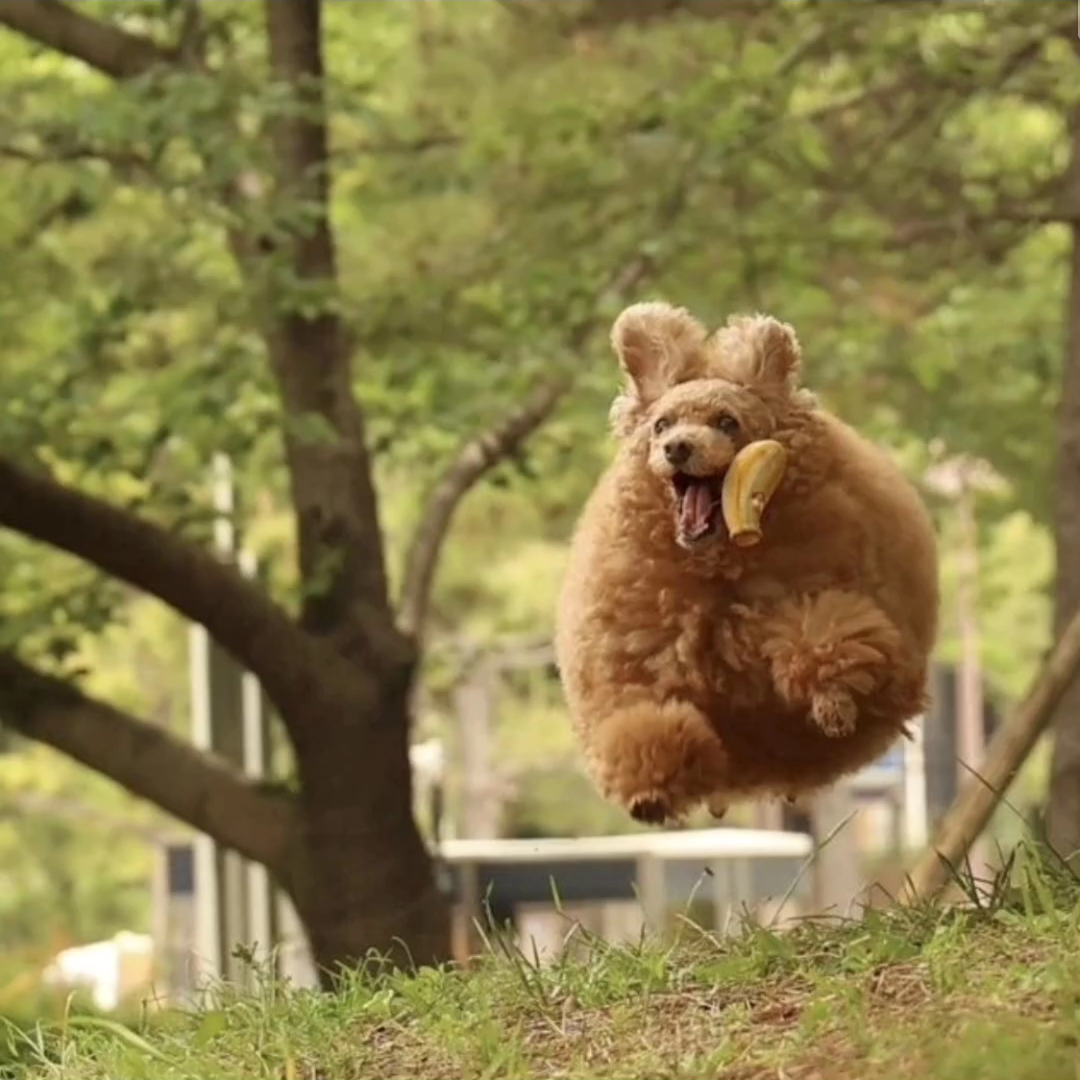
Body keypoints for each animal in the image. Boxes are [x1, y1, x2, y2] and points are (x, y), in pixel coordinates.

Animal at [557, 300, 937, 820]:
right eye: (661, 425)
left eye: (727, 422)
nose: (677, 447)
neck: (719, 561)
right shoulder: (634, 655)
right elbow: (640, 714)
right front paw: (650, 789)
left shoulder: (821, 586)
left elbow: (828, 635)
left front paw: (833, 702)